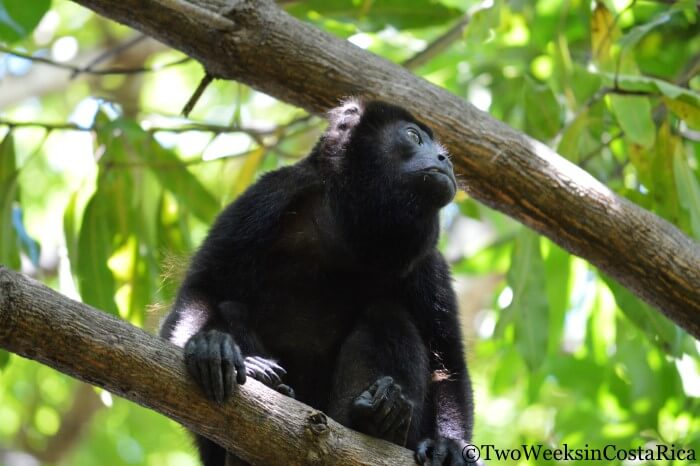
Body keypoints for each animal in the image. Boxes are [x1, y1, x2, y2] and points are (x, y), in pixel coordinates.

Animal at [160, 98, 473, 466]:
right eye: (413, 136)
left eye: (445, 152)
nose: (444, 160)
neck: (352, 226)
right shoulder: (270, 195)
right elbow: (200, 292)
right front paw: (210, 346)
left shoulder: (428, 261)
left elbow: (447, 357)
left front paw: (449, 444)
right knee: (229, 307)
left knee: (387, 314)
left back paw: (379, 419)